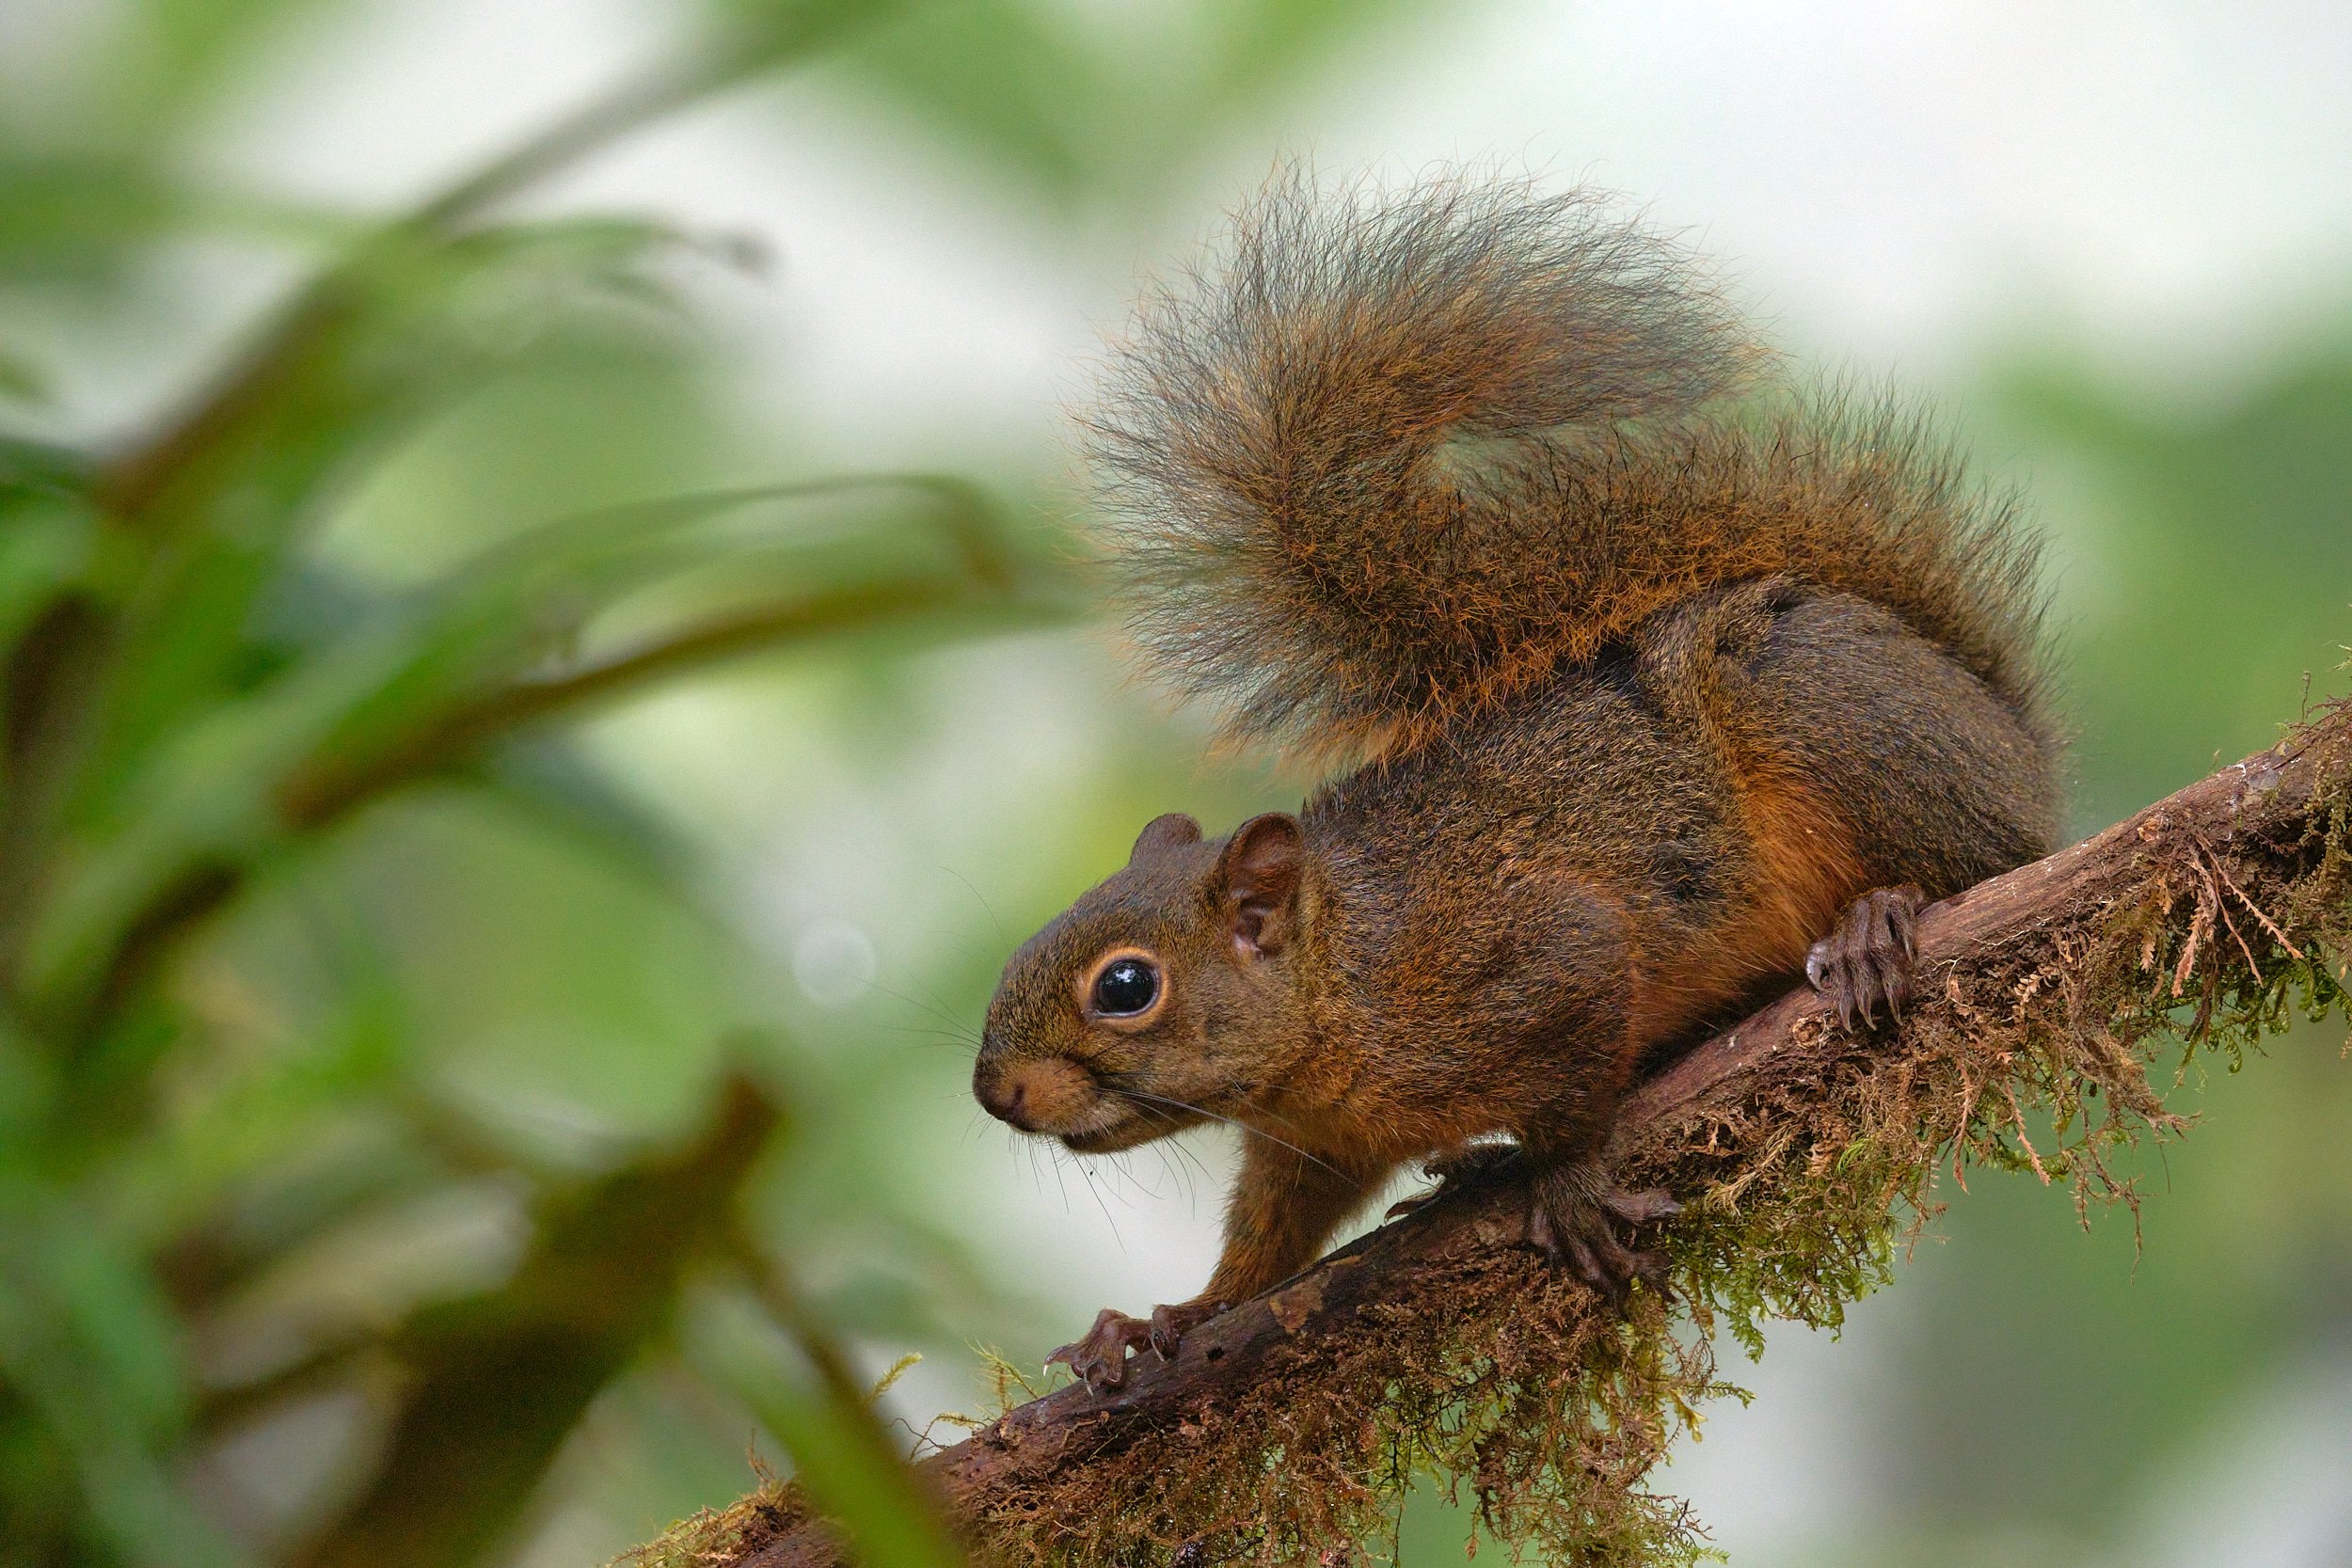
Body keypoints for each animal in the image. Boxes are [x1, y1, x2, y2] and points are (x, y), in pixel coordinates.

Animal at [969, 175, 2060, 1401]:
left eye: (1124, 985)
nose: (994, 1089)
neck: (1344, 974)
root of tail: (2002, 728)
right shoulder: (1316, 1143)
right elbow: (1268, 1237)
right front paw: (1165, 1319)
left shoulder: (1533, 958)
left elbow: (1578, 1078)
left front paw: (1567, 1180)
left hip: (1827, 712)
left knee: (1991, 856)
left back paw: (1879, 920)